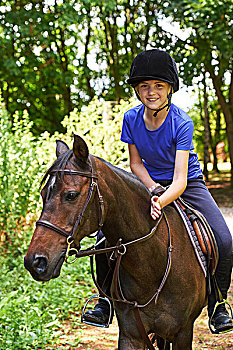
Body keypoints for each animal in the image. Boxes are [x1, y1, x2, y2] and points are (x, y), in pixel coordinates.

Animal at [24, 135, 206, 350]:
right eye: (43, 194)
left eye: (71, 195)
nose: (35, 261)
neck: (154, 264)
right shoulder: (131, 335)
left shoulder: (183, 334)